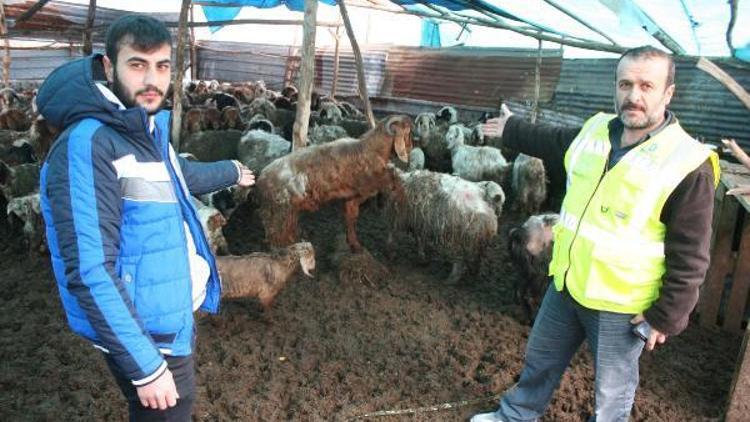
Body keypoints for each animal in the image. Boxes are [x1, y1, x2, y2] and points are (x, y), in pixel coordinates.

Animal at [258, 113, 412, 252]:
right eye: (408, 132)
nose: (411, 146)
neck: (370, 149)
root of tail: (263, 178)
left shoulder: (352, 198)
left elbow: (351, 219)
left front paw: (355, 245)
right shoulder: (367, 183)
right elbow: (391, 176)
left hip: (281, 210)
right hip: (282, 209)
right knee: (277, 233)